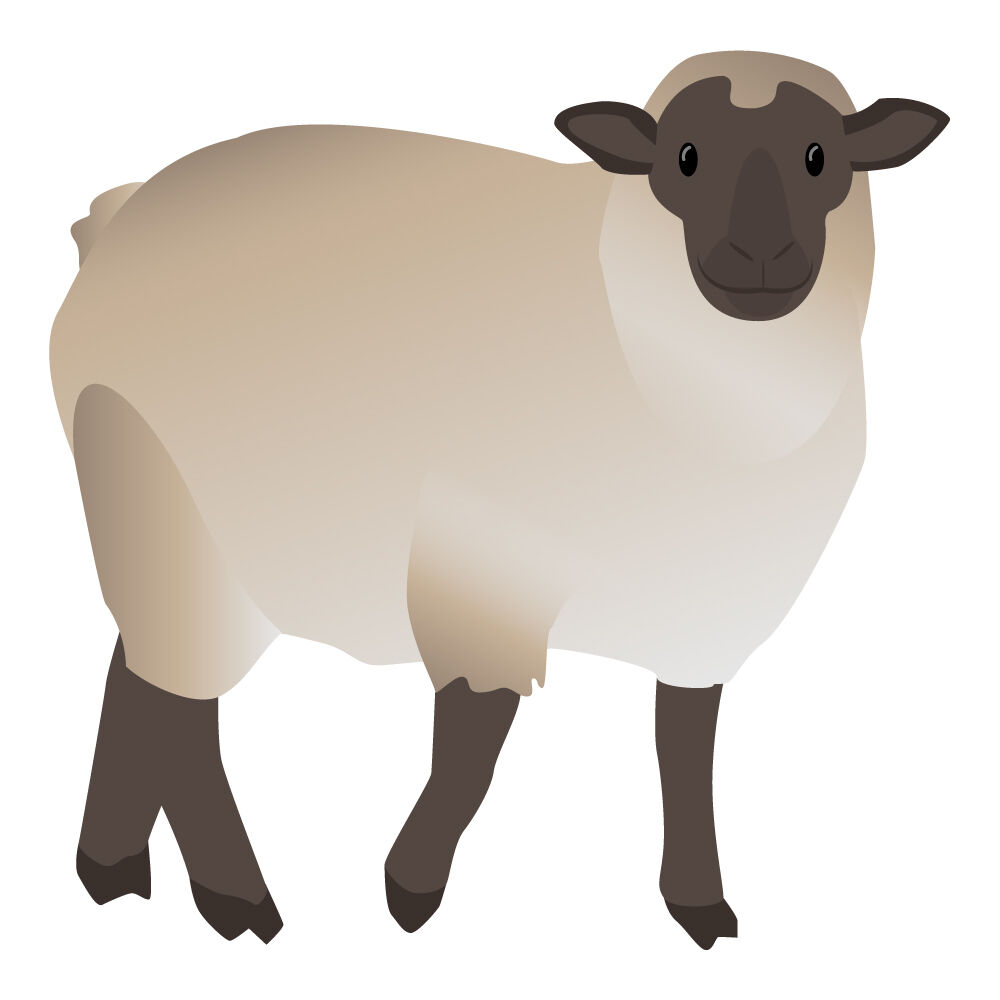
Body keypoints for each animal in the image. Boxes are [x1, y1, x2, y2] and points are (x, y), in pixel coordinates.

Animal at [50, 50, 948, 948]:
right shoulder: (480, 573)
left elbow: (687, 754)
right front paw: (409, 888)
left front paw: (698, 903)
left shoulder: (707, 615)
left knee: (138, 678)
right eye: (685, 156)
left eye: (819, 156)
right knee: (177, 702)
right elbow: (473, 747)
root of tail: (118, 215)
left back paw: (114, 872)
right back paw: (233, 898)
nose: (760, 254)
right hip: (165, 502)